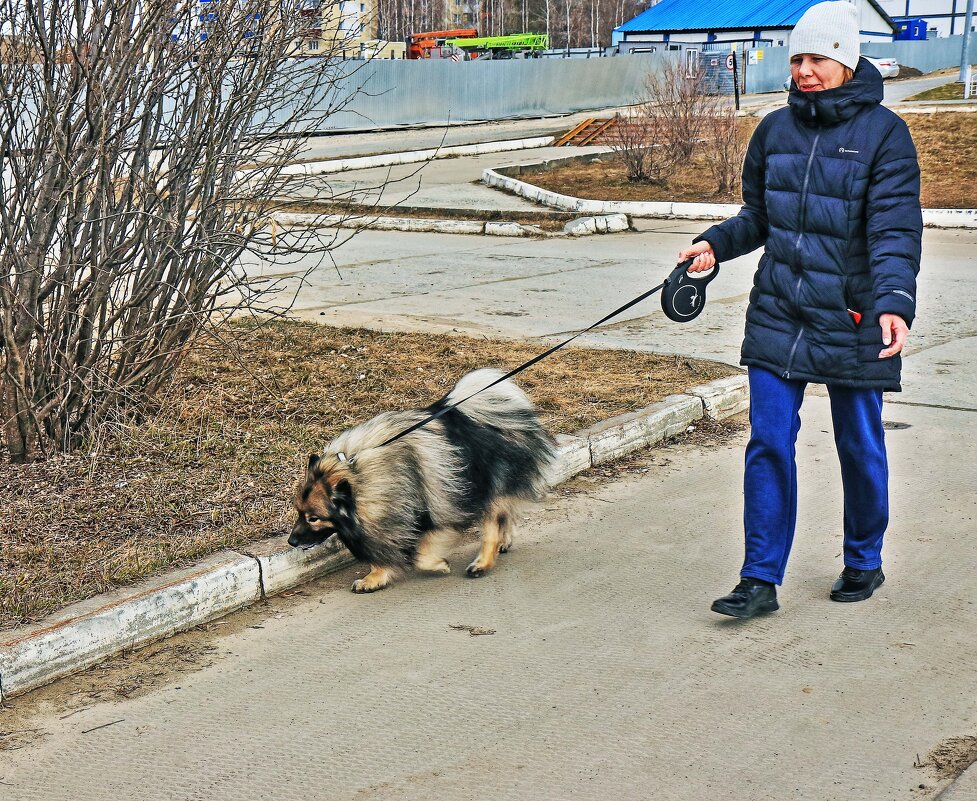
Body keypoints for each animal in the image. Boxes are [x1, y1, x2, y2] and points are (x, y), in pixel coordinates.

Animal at [286, 368, 552, 588]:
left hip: (490, 485)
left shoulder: (439, 509)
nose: (291, 541)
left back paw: (482, 563)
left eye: (314, 518)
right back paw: (504, 542)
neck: (356, 473)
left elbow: (421, 554)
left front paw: (437, 564)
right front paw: (374, 577)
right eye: (299, 513)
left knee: (493, 525)